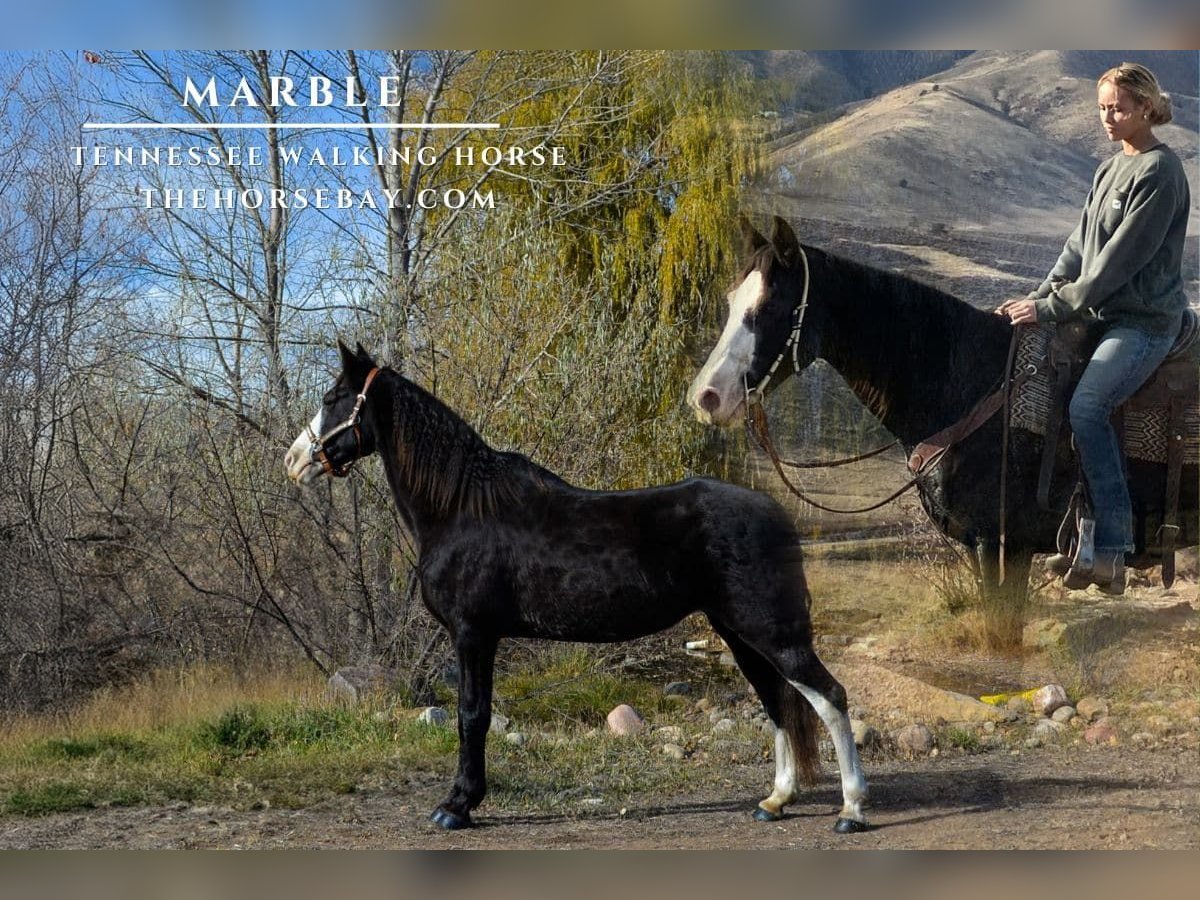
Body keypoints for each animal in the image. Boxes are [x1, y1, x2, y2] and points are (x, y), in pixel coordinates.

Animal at [285, 340, 868, 835]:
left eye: (333, 398)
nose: (294, 461)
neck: (461, 510)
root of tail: (775, 513)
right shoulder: (480, 637)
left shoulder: (473, 635)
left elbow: (472, 716)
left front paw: (457, 806)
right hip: (740, 634)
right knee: (777, 700)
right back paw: (776, 801)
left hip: (770, 633)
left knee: (829, 697)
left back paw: (852, 810)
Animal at [691, 214, 1195, 643]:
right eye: (731, 301)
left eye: (771, 305)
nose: (706, 397)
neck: (971, 383)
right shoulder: (979, 544)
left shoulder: (1004, 544)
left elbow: (1002, 632)